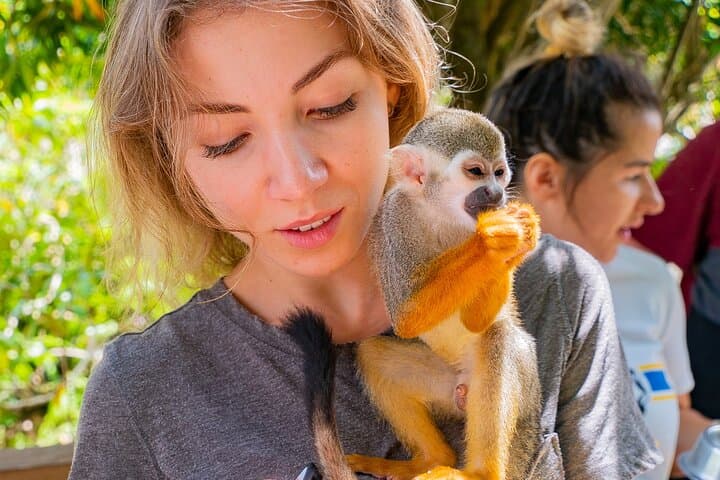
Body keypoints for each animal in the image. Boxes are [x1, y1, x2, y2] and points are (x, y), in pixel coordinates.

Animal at [284, 108, 542, 480]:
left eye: (499, 173)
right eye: (476, 172)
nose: (496, 194)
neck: (441, 215)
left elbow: (477, 322)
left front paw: (519, 234)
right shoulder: (394, 219)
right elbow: (408, 317)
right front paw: (492, 240)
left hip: (522, 381)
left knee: (497, 335)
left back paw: (480, 472)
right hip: (444, 385)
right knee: (373, 351)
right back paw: (432, 460)